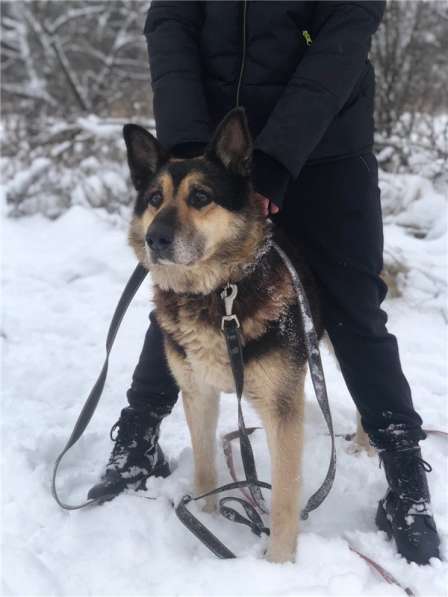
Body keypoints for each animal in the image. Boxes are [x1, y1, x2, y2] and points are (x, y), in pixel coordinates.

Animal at [122, 109, 320, 560]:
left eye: (200, 197)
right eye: (154, 198)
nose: (155, 239)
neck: (219, 294)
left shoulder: (282, 413)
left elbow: (284, 498)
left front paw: (278, 563)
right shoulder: (198, 394)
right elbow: (205, 467)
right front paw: (207, 522)